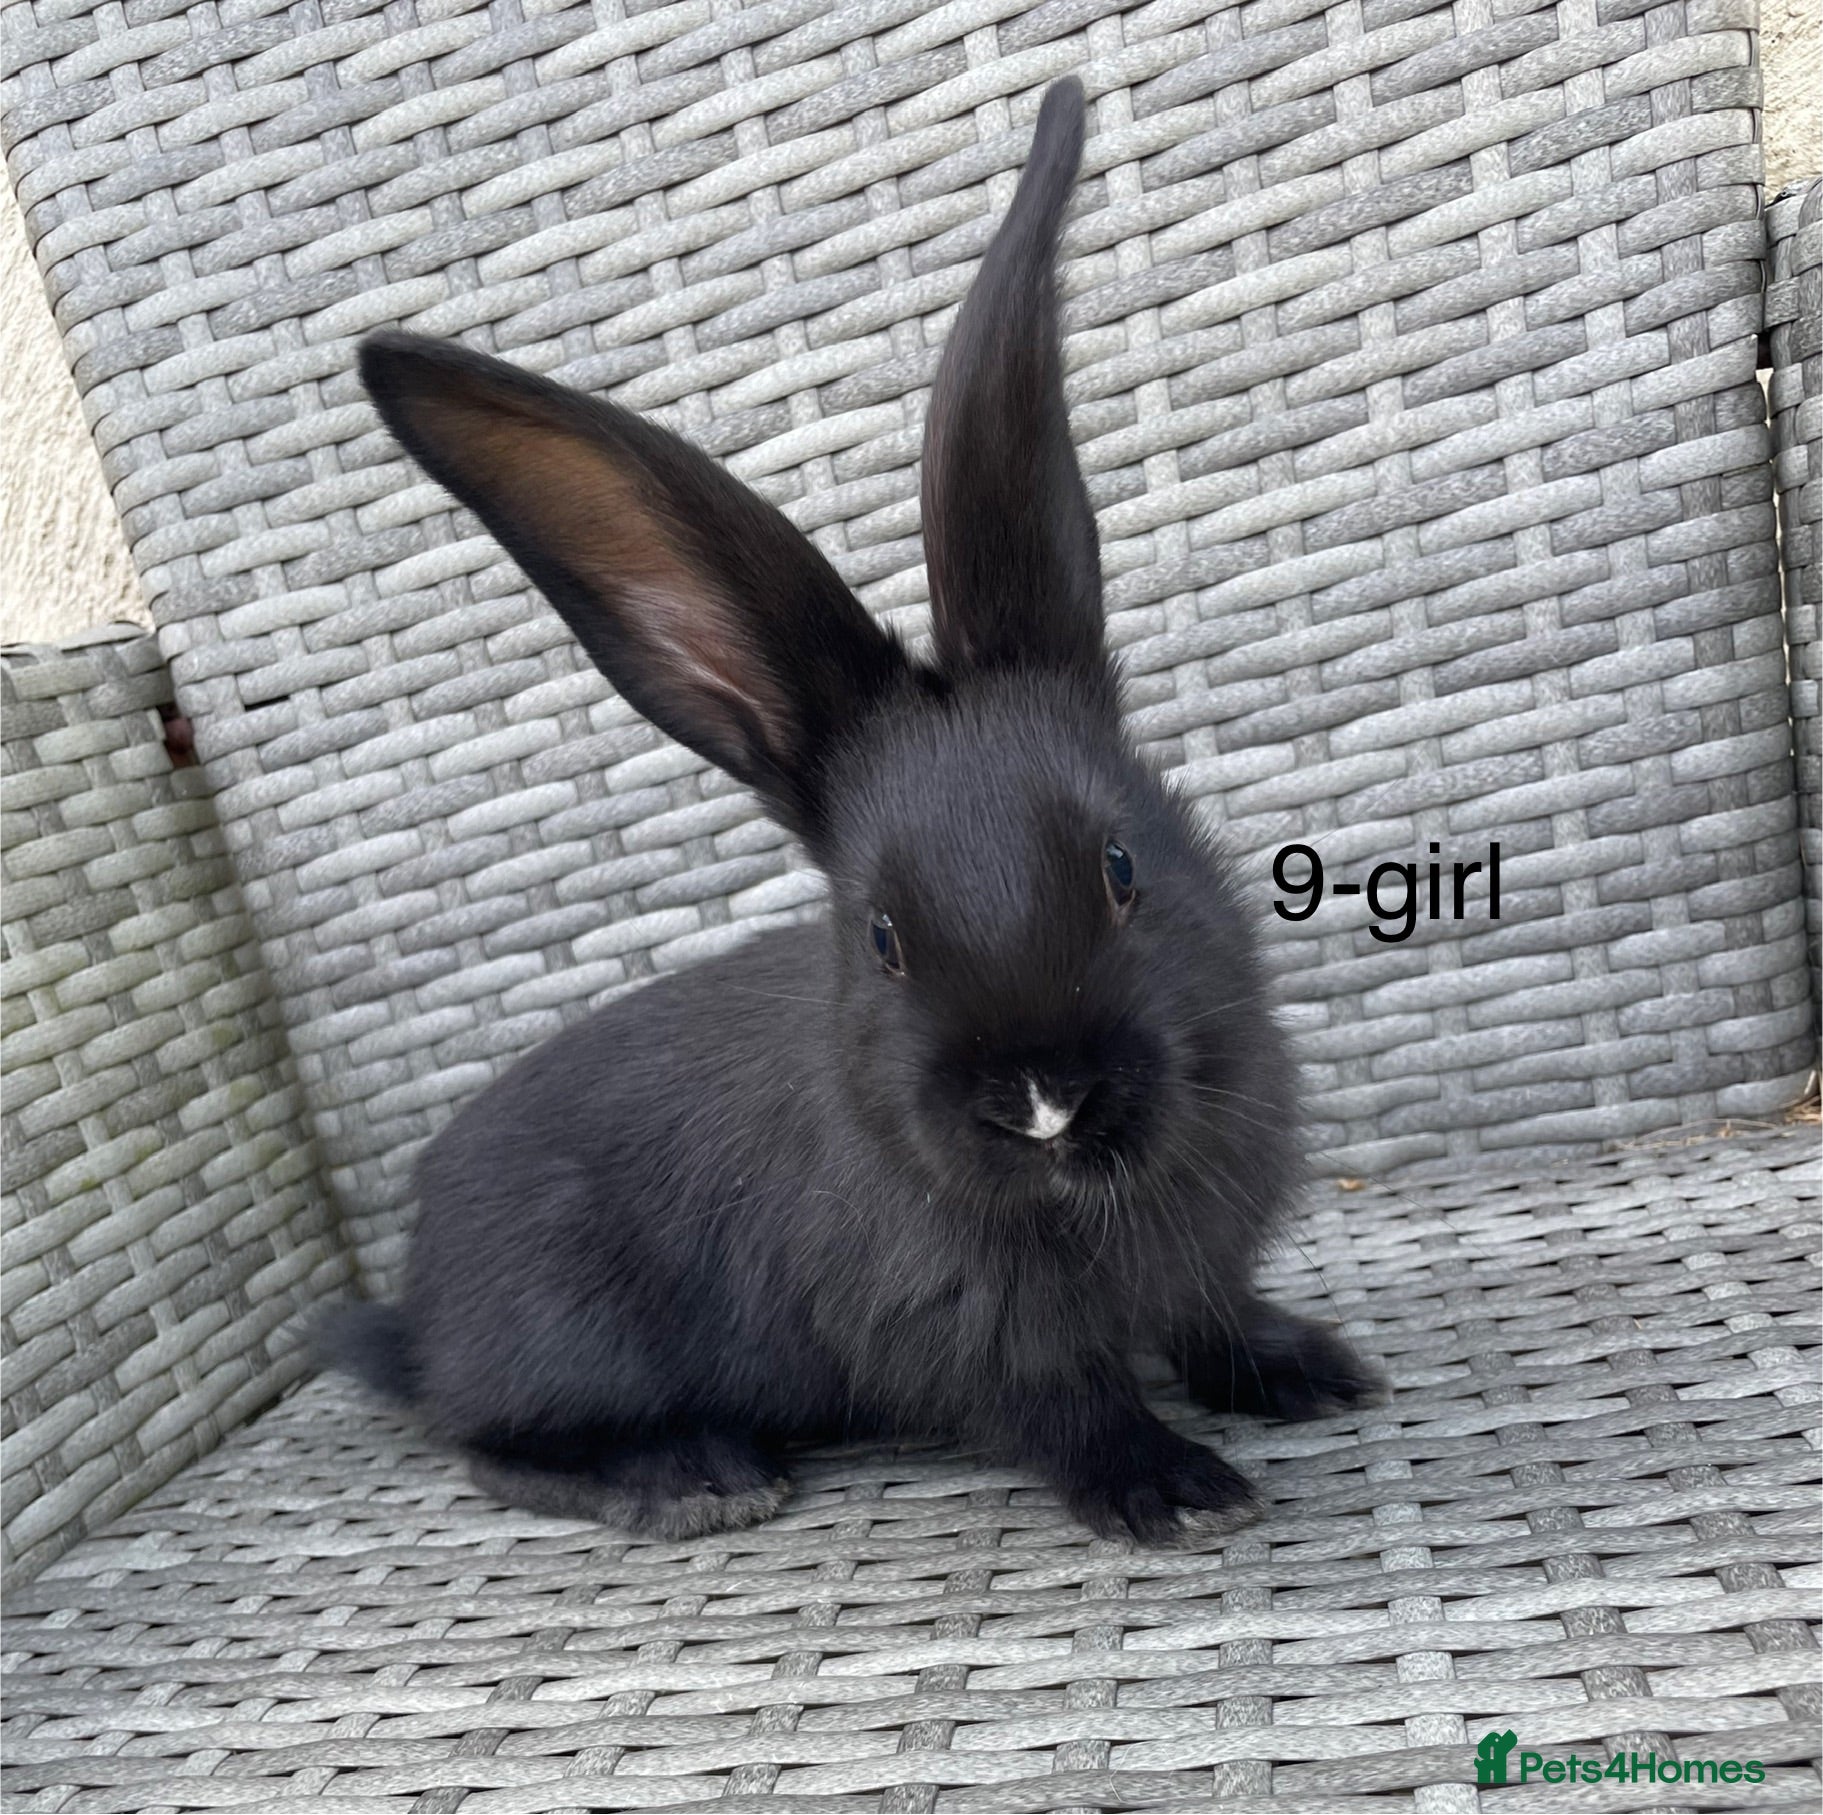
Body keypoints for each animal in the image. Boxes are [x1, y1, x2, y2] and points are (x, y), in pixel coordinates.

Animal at [320, 78, 1383, 1547]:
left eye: (1120, 866)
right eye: (881, 939)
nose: (1041, 1100)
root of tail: (415, 1321)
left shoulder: (1198, 1266)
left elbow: (1210, 1321)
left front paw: (1308, 1370)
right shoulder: (956, 1336)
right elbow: (1065, 1409)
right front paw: (1171, 1492)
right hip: (562, 1331)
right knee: (484, 1444)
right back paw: (695, 1475)